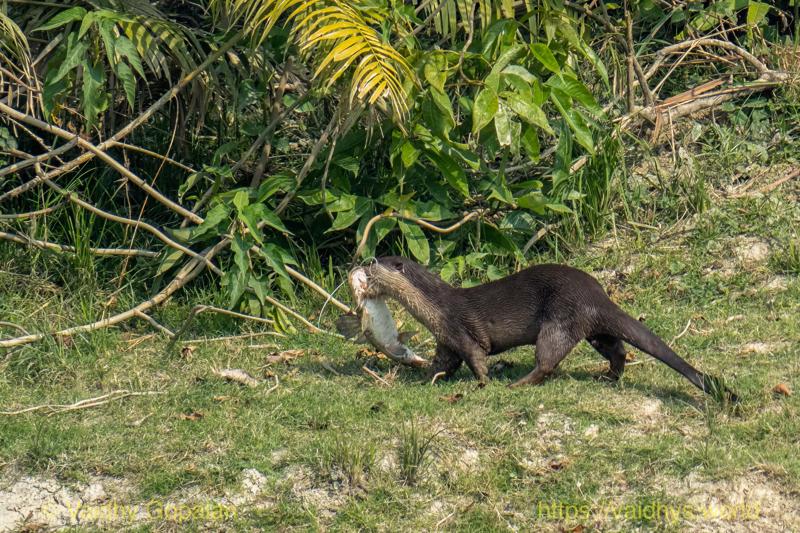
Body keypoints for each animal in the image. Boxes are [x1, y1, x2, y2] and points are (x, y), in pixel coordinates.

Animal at [359, 256, 737, 401]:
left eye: (377, 261)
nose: (363, 262)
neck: (435, 308)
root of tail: (597, 295)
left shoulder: (460, 329)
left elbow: (476, 357)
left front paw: (484, 383)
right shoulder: (445, 340)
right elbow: (443, 363)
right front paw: (426, 379)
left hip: (559, 319)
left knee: (548, 360)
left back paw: (518, 384)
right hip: (593, 330)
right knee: (617, 349)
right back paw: (608, 377)